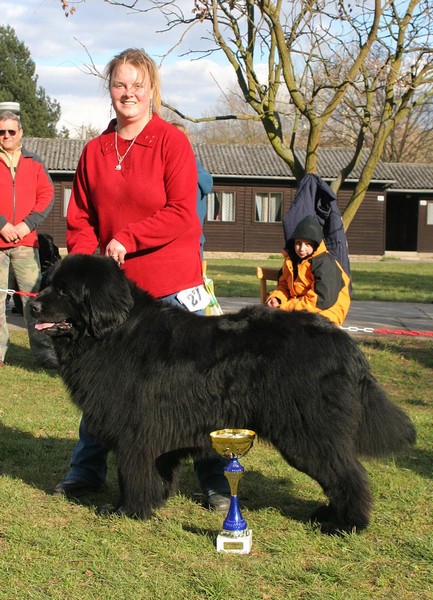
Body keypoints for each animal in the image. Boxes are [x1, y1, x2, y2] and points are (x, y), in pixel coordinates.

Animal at [30, 255, 416, 532]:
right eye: (47, 284)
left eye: (65, 291)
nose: (32, 306)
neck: (112, 331)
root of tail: (344, 341)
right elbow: (156, 472)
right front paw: (152, 503)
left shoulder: (136, 432)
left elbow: (133, 473)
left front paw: (127, 510)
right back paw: (328, 515)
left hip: (308, 430)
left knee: (347, 474)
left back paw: (345, 524)